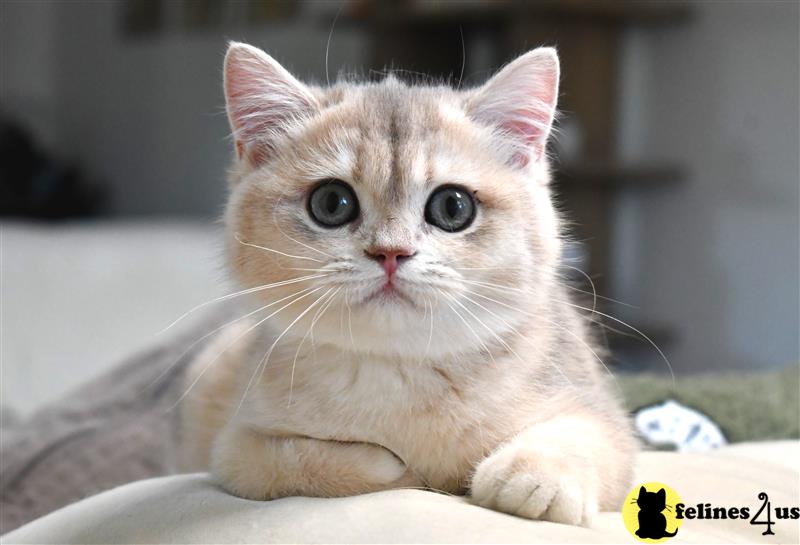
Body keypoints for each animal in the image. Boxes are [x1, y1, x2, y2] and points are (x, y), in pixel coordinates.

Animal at [177, 42, 636, 528]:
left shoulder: (602, 415)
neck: (401, 367)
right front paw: (396, 466)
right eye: (331, 203)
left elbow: (587, 437)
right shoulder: (236, 451)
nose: (391, 253)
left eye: (453, 207)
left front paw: (535, 478)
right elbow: (300, 460)